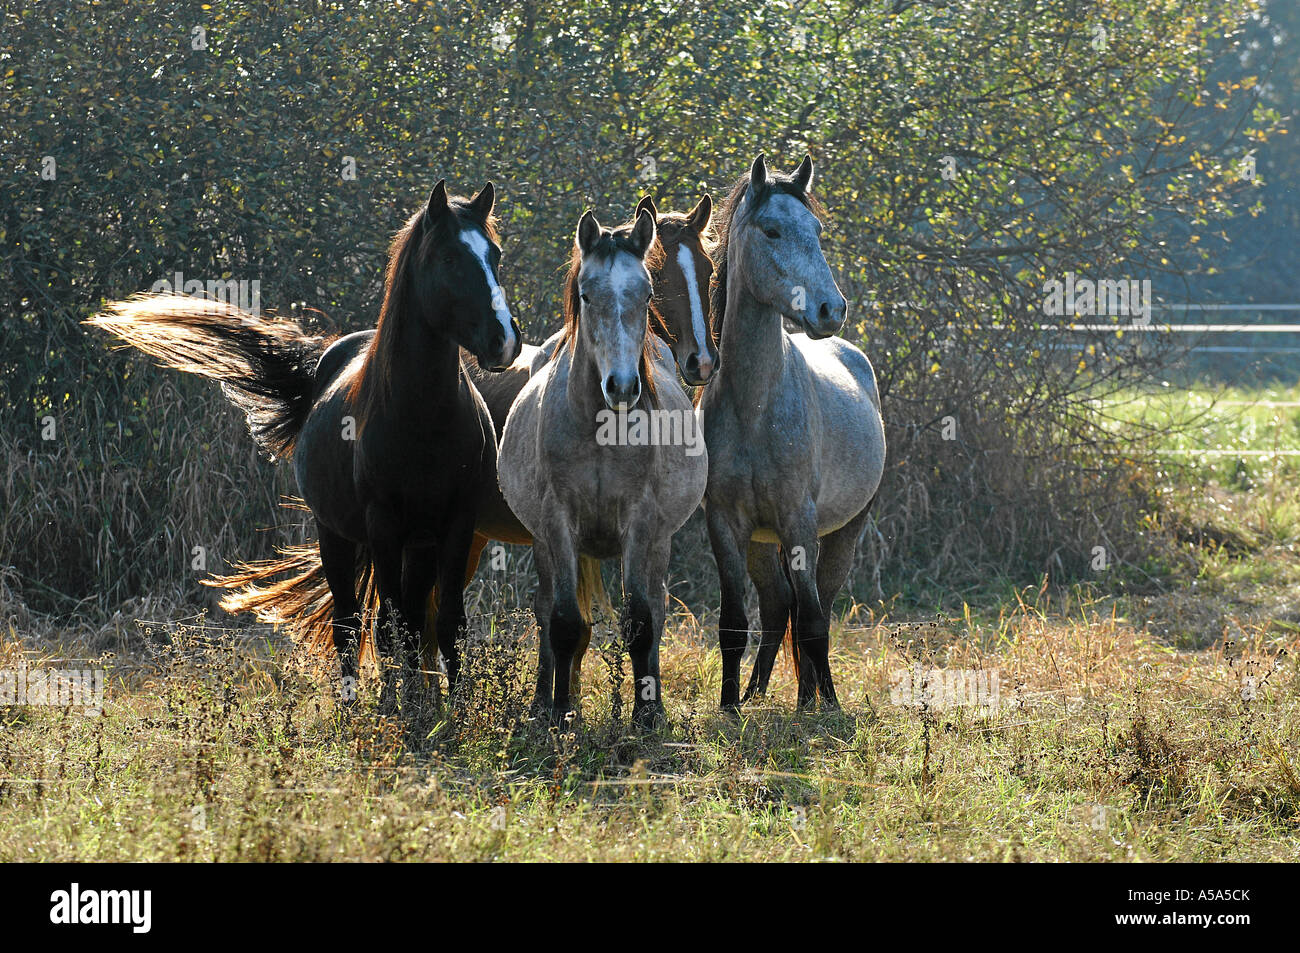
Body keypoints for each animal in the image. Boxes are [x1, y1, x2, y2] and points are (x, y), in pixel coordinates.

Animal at [87, 180, 522, 696]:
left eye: (495, 254)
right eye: (450, 258)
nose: (505, 341)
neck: (424, 421)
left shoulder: (457, 524)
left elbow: (447, 623)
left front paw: (449, 708)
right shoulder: (383, 527)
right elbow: (388, 627)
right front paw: (395, 707)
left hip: (417, 544)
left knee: (414, 620)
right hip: (338, 535)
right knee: (351, 623)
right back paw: (357, 701)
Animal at [496, 208, 707, 722]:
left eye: (646, 293)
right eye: (587, 295)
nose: (623, 387)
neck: (598, 429)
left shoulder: (641, 520)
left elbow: (641, 620)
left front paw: (646, 715)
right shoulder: (556, 521)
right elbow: (564, 621)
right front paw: (558, 713)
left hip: (658, 543)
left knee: (655, 608)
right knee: (547, 609)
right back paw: (543, 700)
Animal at [702, 154, 883, 707]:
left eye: (817, 230)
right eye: (772, 230)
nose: (831, 309)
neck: (754, 406)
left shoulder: (799, 521)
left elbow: (814, 623)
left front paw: (821, 708)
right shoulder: (726, 525)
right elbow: (734, 622)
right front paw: (729, 707)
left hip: (845, 532)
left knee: (815, 605)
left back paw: (816, 696)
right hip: (763, 543)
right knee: (779, 604)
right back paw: (756, 693)